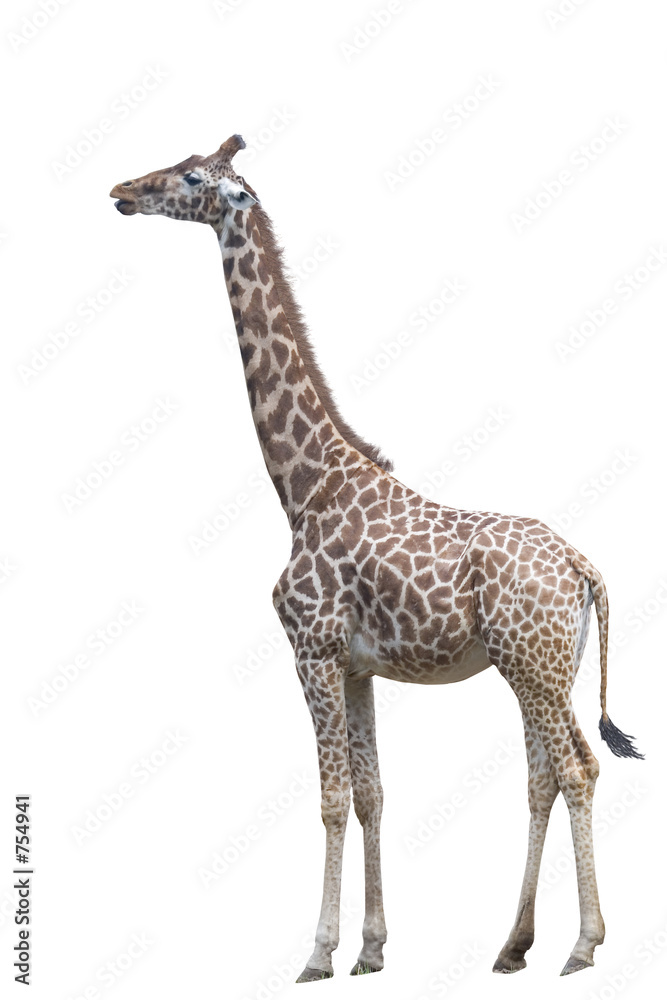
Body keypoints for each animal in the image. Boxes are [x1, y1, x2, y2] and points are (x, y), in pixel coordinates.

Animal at [110, 134, 643, 981]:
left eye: (192, 177)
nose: (123, 191)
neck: (303, 486)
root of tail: (583, 568)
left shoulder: (312, 650)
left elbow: (330, 798)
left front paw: (316, 954)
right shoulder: (357, 665)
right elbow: (371, 795)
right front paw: (370, 948)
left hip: (532, 663)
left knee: (577, 769)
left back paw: (581, 946)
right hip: (543, 668)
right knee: (541, 778)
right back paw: (512, 945)